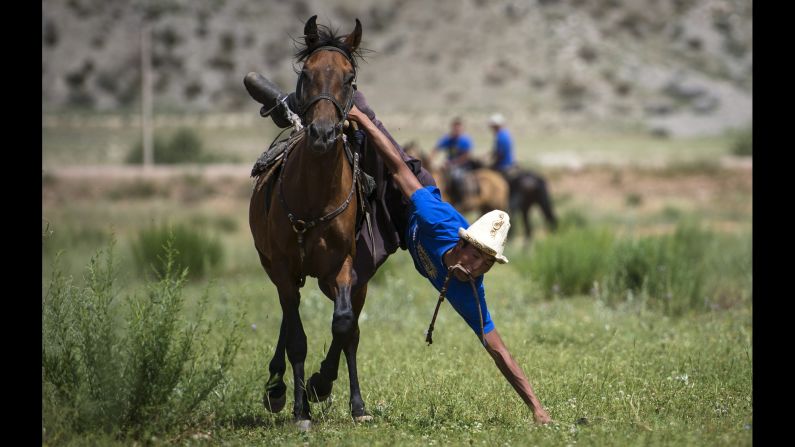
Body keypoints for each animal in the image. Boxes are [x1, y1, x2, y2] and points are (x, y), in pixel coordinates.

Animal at [250, 16, 372, 430]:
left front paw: (356, 405)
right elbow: (298, 340)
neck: (315, 196)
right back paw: (277, 389)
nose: (322, 133)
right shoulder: (284, 267)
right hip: (278, 269)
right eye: (306, 73)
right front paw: (301, 411)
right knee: (290, 322)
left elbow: (345, 326)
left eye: (350, 78)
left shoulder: (343, 267)